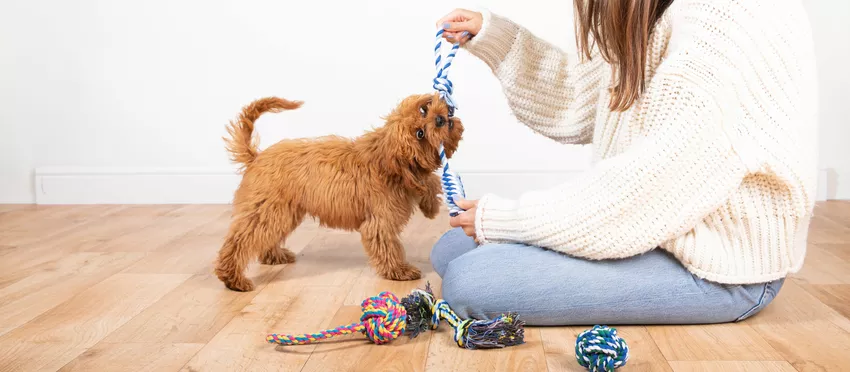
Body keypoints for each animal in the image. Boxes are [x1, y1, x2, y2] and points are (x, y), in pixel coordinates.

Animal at [212, 92, 464, 290]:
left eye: (424, 110)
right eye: (420, 134)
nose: (440, 118)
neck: (385, 160)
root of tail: (256, 157)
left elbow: (430, 181)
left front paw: (430, 204)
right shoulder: (379, 222)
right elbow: (388, 246)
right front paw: (399, 270)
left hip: (282, 213)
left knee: (264, 237)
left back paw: (274, 256)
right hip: (267, 210)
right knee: (240, 241)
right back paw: (232, 278)